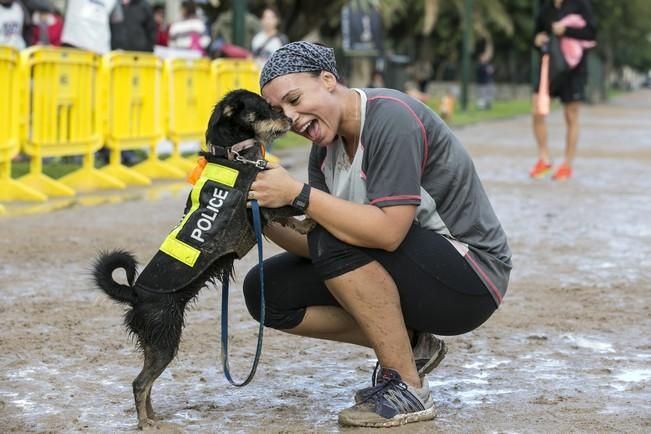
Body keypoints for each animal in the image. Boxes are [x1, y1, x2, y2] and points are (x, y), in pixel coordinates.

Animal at [93, 90, 312, 428]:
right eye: (266, 108)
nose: (290, 119)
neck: (234, 155)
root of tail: (134, 294)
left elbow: (290, 216)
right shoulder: (264, 205)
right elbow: (292, 208)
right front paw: (311, 220)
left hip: (155, 341)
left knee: (146, 381)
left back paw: (153, 415)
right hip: (165, 338)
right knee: (140, 383)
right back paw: (145, 422)